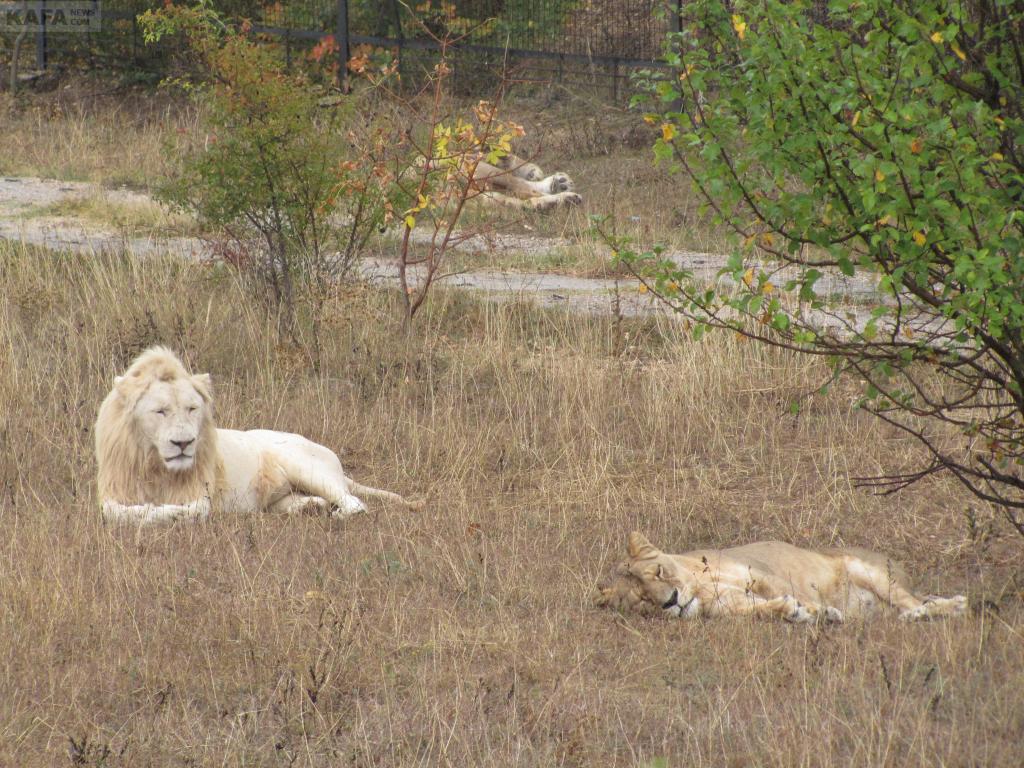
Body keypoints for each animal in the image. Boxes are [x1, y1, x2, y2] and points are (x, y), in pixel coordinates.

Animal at [92, 348, 419, 524]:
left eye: (191, 408)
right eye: (160, 411)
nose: (183, 444)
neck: (154, 465)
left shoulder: (201, 495)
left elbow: (190, 509)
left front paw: (170, 512)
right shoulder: (111, 492)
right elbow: (114, 512)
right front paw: (154, 511)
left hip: (306, 466)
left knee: (355, 503)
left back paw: (335, 514)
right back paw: (311, 508)